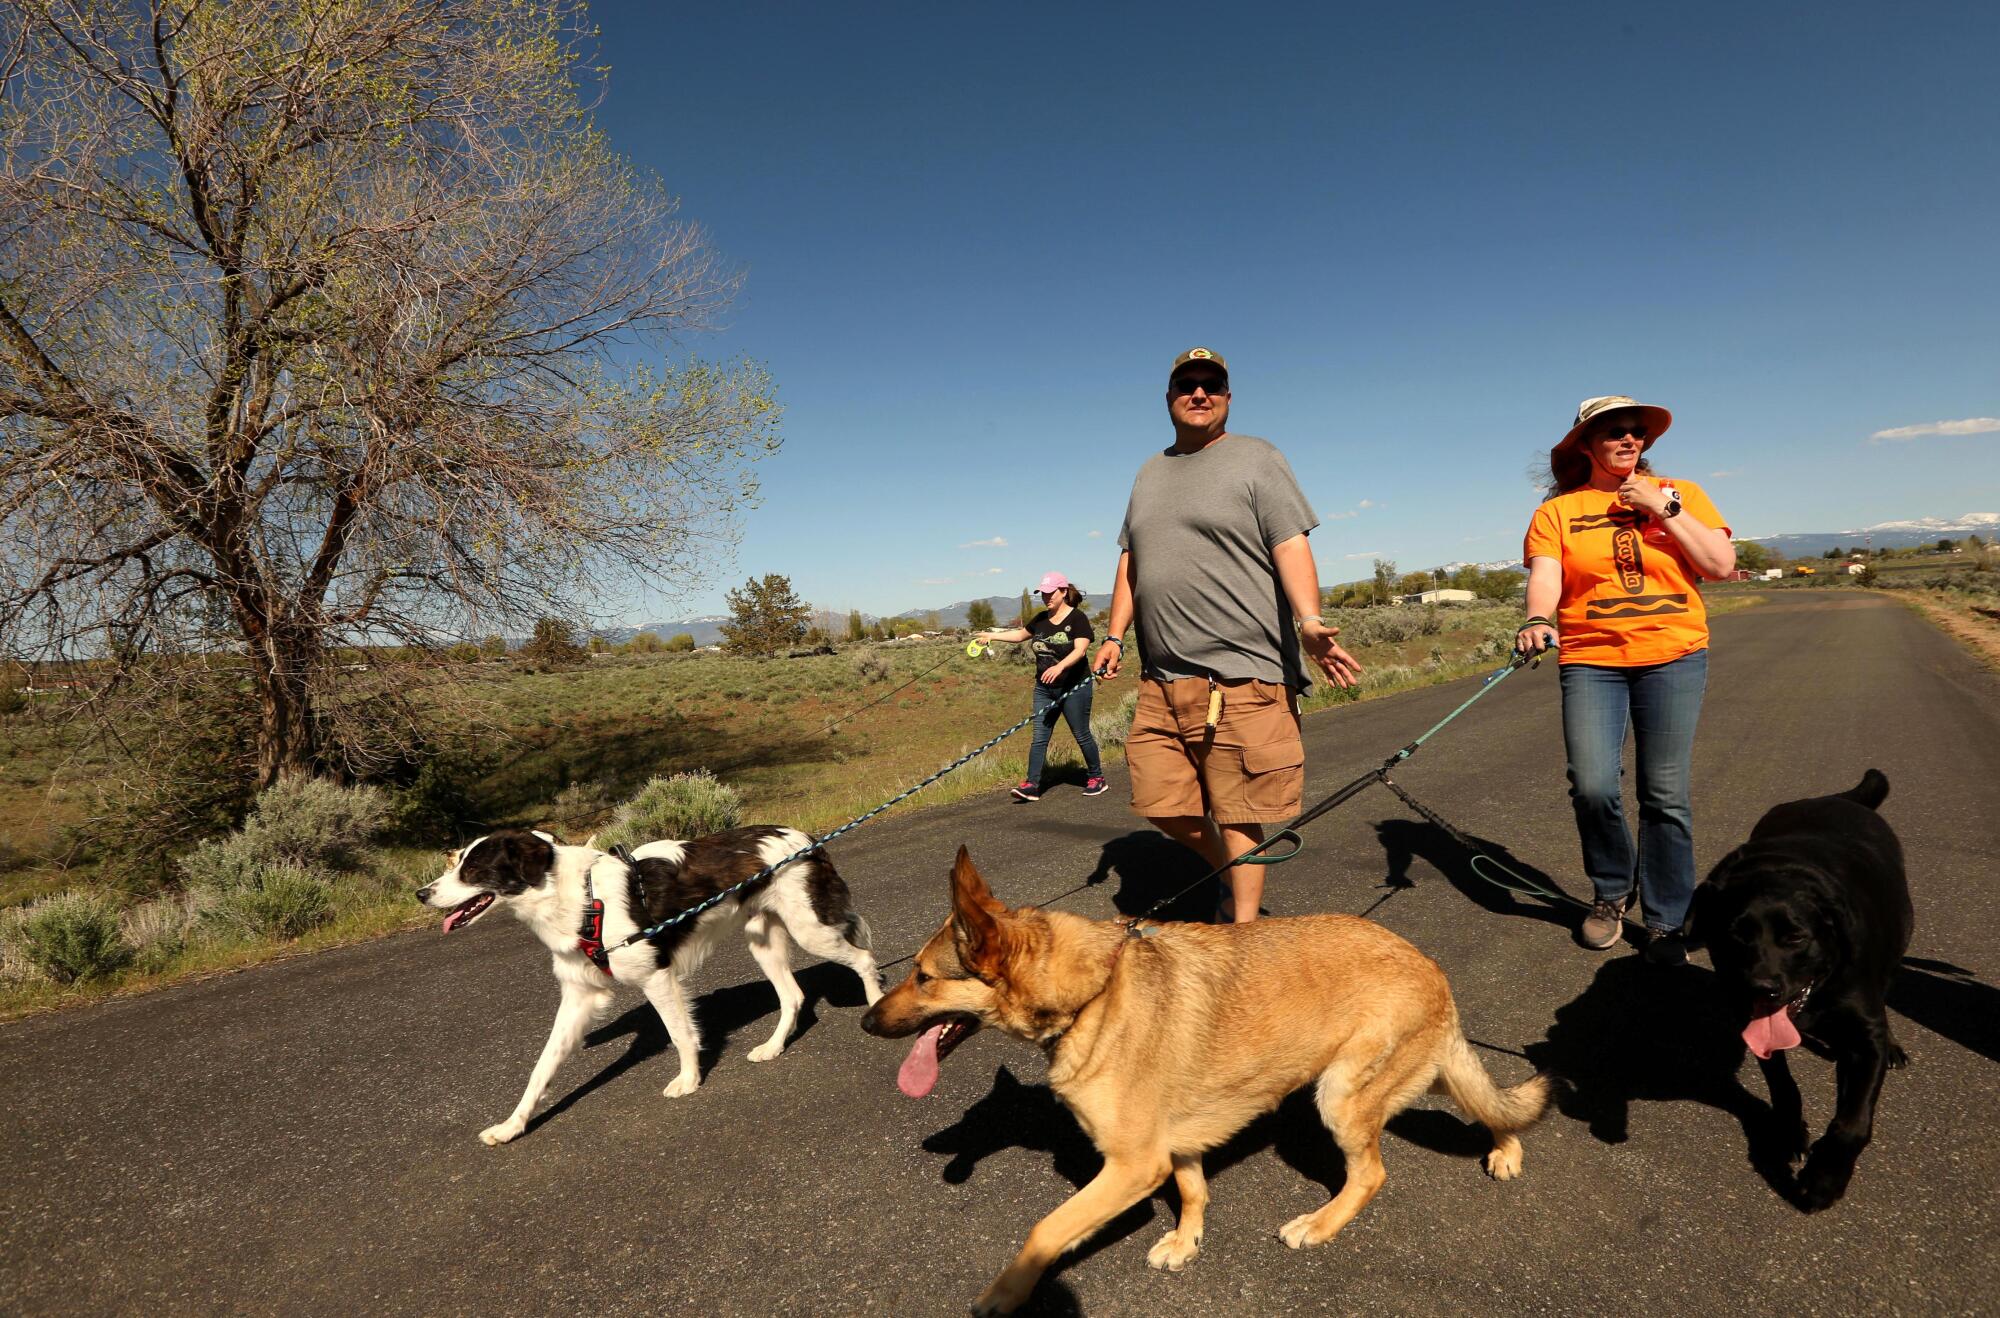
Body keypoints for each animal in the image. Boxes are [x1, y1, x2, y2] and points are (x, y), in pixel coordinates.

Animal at [418, 824, 880, 1144]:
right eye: (455, 862)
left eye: (473, 869)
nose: (422, 894)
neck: (579, 900)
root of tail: (804, 837)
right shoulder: (579, 998)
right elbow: (541, 1069)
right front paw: (512, 1125)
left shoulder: (655, 977)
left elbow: (680, 1034)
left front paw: (689, 1081)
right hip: (763, 940)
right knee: (794, 995)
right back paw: (773, 1047)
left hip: (811, 931)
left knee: (864, 959)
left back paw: (876, 1004)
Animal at [868, 852, 1552, 1312]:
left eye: (923, 977)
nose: (866, 1020)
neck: (1093, 995)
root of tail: (1429, 966)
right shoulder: (1172, 1146)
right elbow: (1193, 1189)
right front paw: (1186, 1239)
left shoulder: (1130, 1166)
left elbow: (1046, 1230)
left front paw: (1005, 1294)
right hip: (1417, 1075)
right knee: (1487, 1099)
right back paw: (1506, 1148)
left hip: (1341, 1096)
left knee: (1371, 1175)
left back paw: (1320, 1223)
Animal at [1696, 772, 1912, 1216]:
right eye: (1735, 935)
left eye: (1795, 937)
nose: (1761, 987)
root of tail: (1842, 798)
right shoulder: (1752, 1023)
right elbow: (1782, 1084)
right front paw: (1789, 1132)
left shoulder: (1863, 1039)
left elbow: (1853, 1122)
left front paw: (1824, 1179)